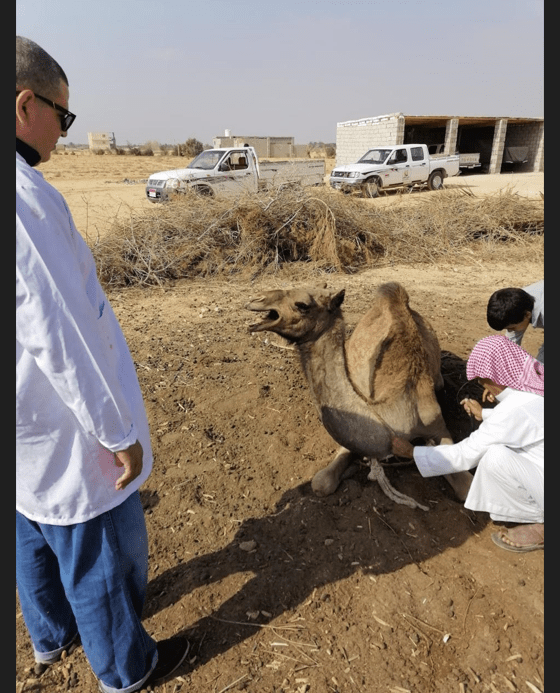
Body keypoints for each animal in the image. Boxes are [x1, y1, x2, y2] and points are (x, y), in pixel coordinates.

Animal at [246, 278, 472, 510]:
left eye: (302, 305)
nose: (256, 299)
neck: (396, 408)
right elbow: (321, 482)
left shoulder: (436, 424)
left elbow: (465, 488)